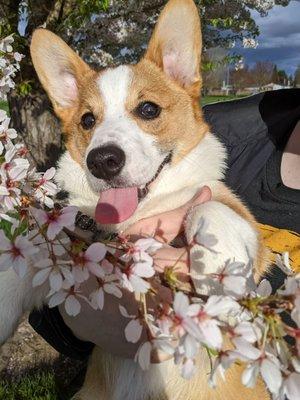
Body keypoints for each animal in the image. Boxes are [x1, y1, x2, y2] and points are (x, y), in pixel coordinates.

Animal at [0, 0, 270, 400]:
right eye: (87, 120)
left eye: (148, 110)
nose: (102, 160)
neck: (134, 216)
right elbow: (37, 247)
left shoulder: (241, 219)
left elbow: (210, 205)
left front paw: (222, 272)